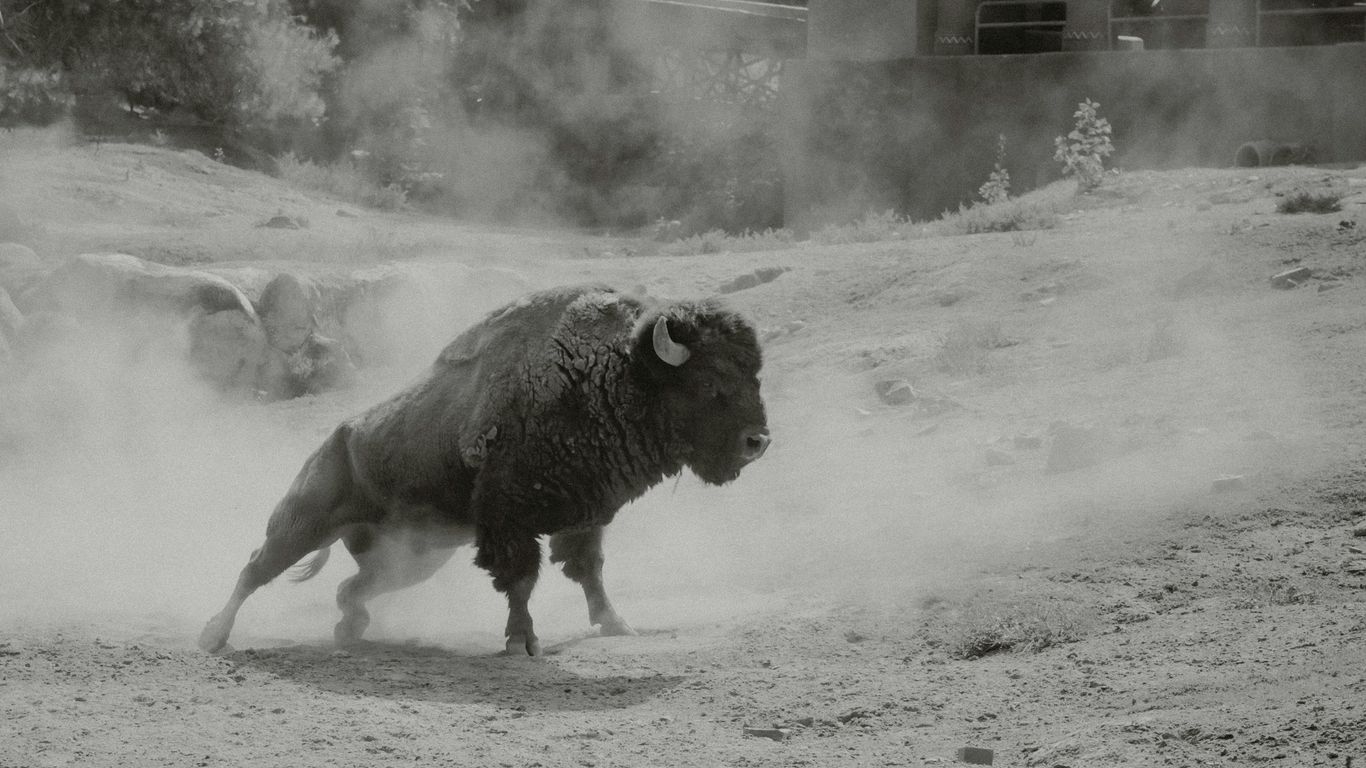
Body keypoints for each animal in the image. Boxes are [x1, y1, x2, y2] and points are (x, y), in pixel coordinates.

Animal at [199, 284, 770, 655]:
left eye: (755, 376)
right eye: (710, 384)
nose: (758, 441)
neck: (611, 371)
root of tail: (336, 437)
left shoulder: (585, 516)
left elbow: (589, 571)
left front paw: (617, 625)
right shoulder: (508, 518)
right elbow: (521, 578)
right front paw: (522, 641)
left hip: (413, 558)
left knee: (350, 587)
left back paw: (349, 630)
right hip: (303, 521)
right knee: (255, 568)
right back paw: (213, 636)